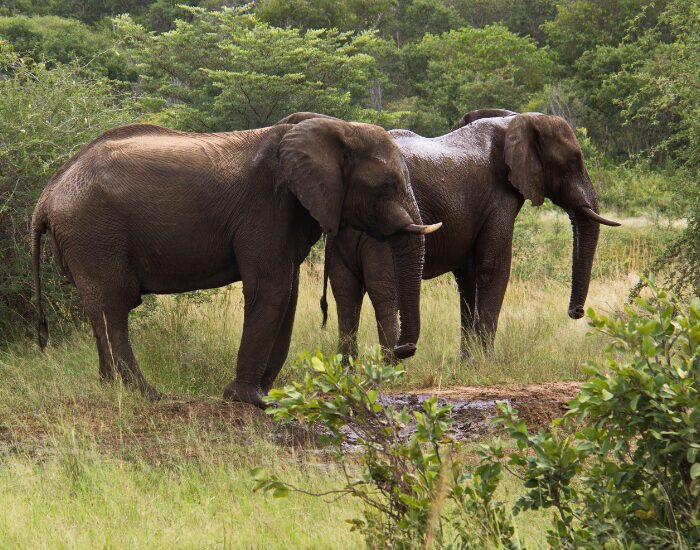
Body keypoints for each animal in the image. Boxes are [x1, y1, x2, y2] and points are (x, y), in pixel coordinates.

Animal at [31, 119, 442, 407]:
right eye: (387, 186)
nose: (403, 351)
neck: (334, 129)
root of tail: (47, 194)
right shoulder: (267, 206)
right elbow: (271, 288)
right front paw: (250, 400)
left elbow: (288, 294)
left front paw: (266, 396)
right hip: (95, 233)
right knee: (112, 307)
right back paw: (146, 395)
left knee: (103, 309)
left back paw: (110, 388)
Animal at [277, 110, 620, 359]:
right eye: (573, 161)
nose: (576, 312)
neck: (515, 120)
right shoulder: (498, 198)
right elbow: (493, 266)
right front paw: (486, 362)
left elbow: (467, 276)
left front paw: (467, 361)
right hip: (378, 229)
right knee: (383, 289)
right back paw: (390, 364)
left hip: (342, 234)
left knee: (346, 291)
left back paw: (353, 368)